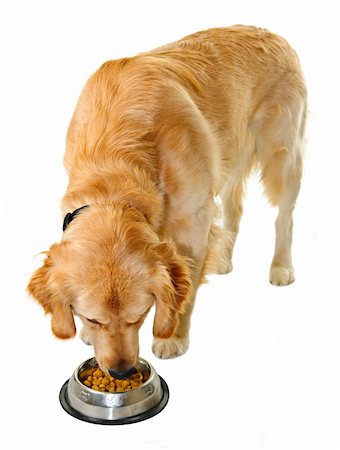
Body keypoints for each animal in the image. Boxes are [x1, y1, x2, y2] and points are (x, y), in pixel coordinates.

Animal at [27, 23, 306, 376]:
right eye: (91, 318)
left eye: (140, 315)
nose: (121, 372)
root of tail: (272, 32)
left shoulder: (194, 220)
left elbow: (185, 288)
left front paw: (172, 337)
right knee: (235, 207)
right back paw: (224, 259)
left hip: (281, 153)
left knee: (285, 216)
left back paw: (281, 266)